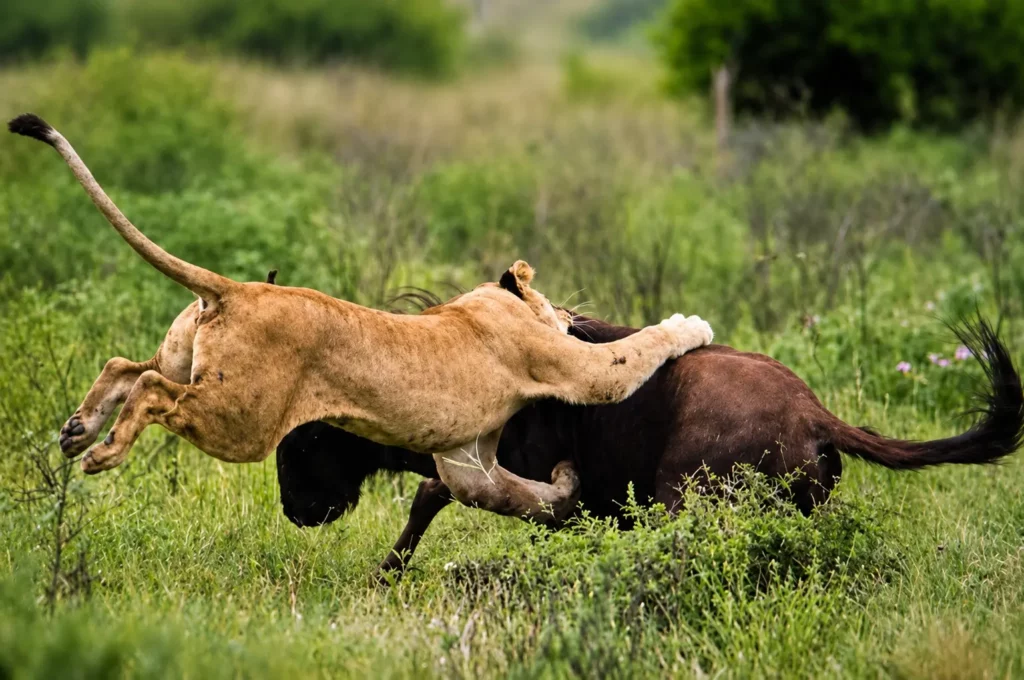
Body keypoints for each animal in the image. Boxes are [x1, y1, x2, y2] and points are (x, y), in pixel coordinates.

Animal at [8, 113, 714, 522]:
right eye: (554, 305)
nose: (568, 313)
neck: (486, 301)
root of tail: (235, 289)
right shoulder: (576, 370)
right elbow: (635, 351)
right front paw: (692, 324)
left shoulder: (467, 459)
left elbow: (508, 492)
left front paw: (563, 486)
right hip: (242, 419)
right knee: (154, 391)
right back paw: (103, 453)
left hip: (190, 360)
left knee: (124, 364)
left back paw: (76, 431)